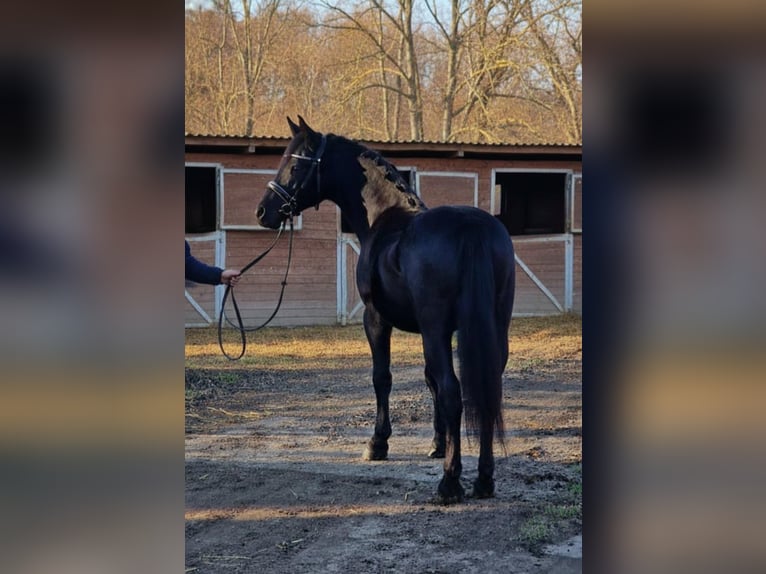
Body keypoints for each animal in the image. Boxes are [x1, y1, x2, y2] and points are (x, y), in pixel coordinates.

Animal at [256, 116, 515, 504]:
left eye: (297, 164)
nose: (264, 212)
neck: (385, 220)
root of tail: (472, 229)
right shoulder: (430, 331)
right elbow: (429, 380)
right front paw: (437, 444)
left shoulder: (377, 319)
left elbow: (384, 378)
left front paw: (377, 443)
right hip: (494, 329)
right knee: (486, 389)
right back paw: (484, 479)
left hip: (437, 329)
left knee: (454, 391)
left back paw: (449, 483)